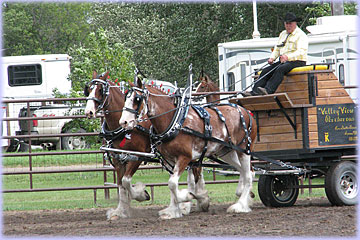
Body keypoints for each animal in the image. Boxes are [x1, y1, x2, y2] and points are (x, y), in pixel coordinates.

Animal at [84, 70, 208, 218]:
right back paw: (188, 204)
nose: (88, 112)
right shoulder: (118, 159)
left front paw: (141, 194)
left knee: (196, 174)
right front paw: (120, 211)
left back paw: (199, 201)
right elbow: (120, 185)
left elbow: (126, 182)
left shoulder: (137, 156)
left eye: (100, 90)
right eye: (88, 90)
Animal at [119, 79, 258, 219]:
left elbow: (172, 183)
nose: (123, 122)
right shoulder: (169, 160)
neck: (174, 121)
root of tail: (246, 112)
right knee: (245, 171)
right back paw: (243, 194)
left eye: (137, 99)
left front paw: (187, 197)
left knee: (248, 174)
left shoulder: (185, 157)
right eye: (125, 97)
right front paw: (173, 210)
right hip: (226, 152)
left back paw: (240, 205)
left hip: (243, 149)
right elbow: (171, 184)